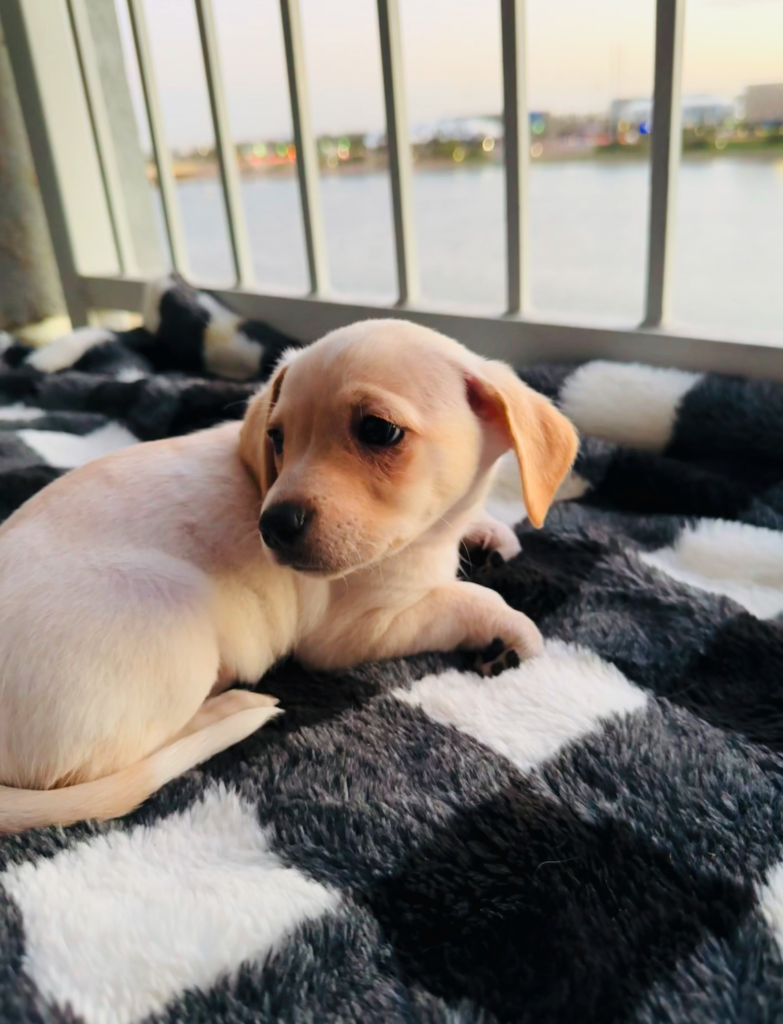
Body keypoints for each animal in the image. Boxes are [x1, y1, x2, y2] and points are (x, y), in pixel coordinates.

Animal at [0, 319, 573, 831]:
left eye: (378, 430)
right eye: (276, 438)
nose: (271, 526)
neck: (426, 539)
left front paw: (492, 533)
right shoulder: (358, 632)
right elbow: (465, 599)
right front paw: (511, 629)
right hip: (176, 616)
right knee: (125, 759)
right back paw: (231, 707)